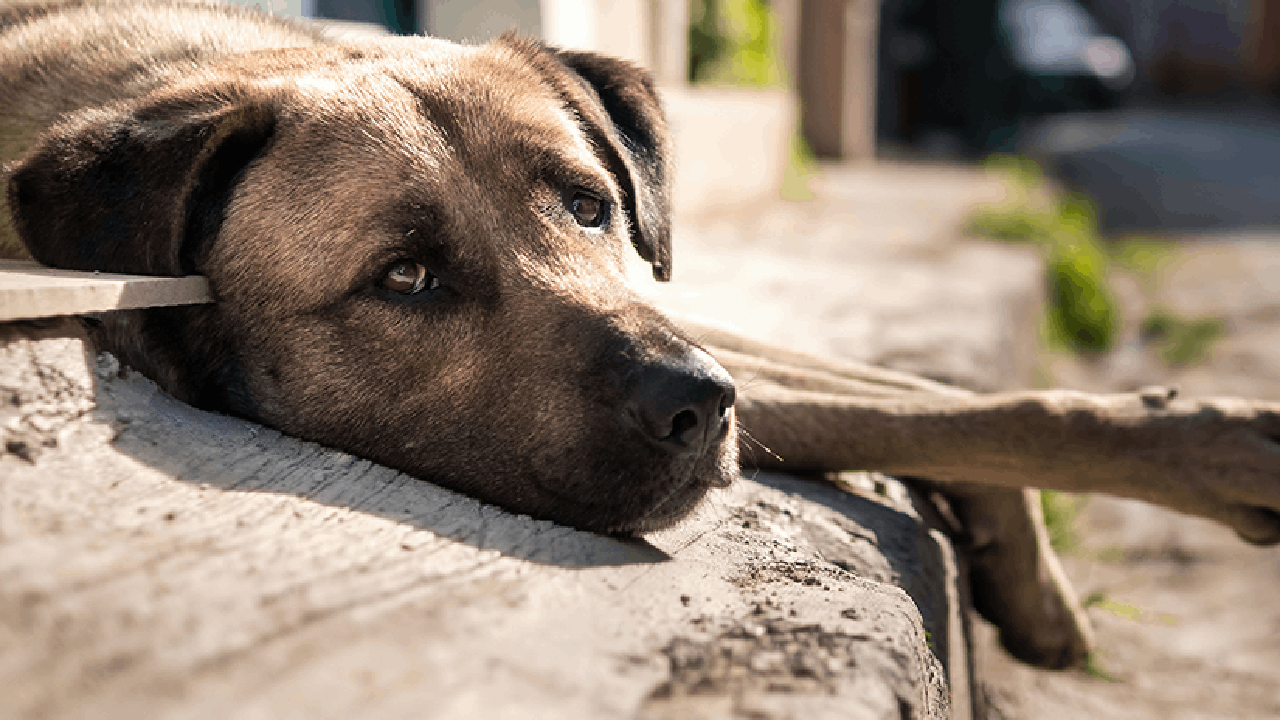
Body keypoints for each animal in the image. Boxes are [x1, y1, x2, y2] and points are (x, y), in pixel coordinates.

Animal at [7, 0, 1280, 671]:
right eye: (404, 276)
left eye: (588, 206)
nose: (696, 406)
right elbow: (915, 404)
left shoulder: (681, 316)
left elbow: (926, 396)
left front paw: (1185, 458)